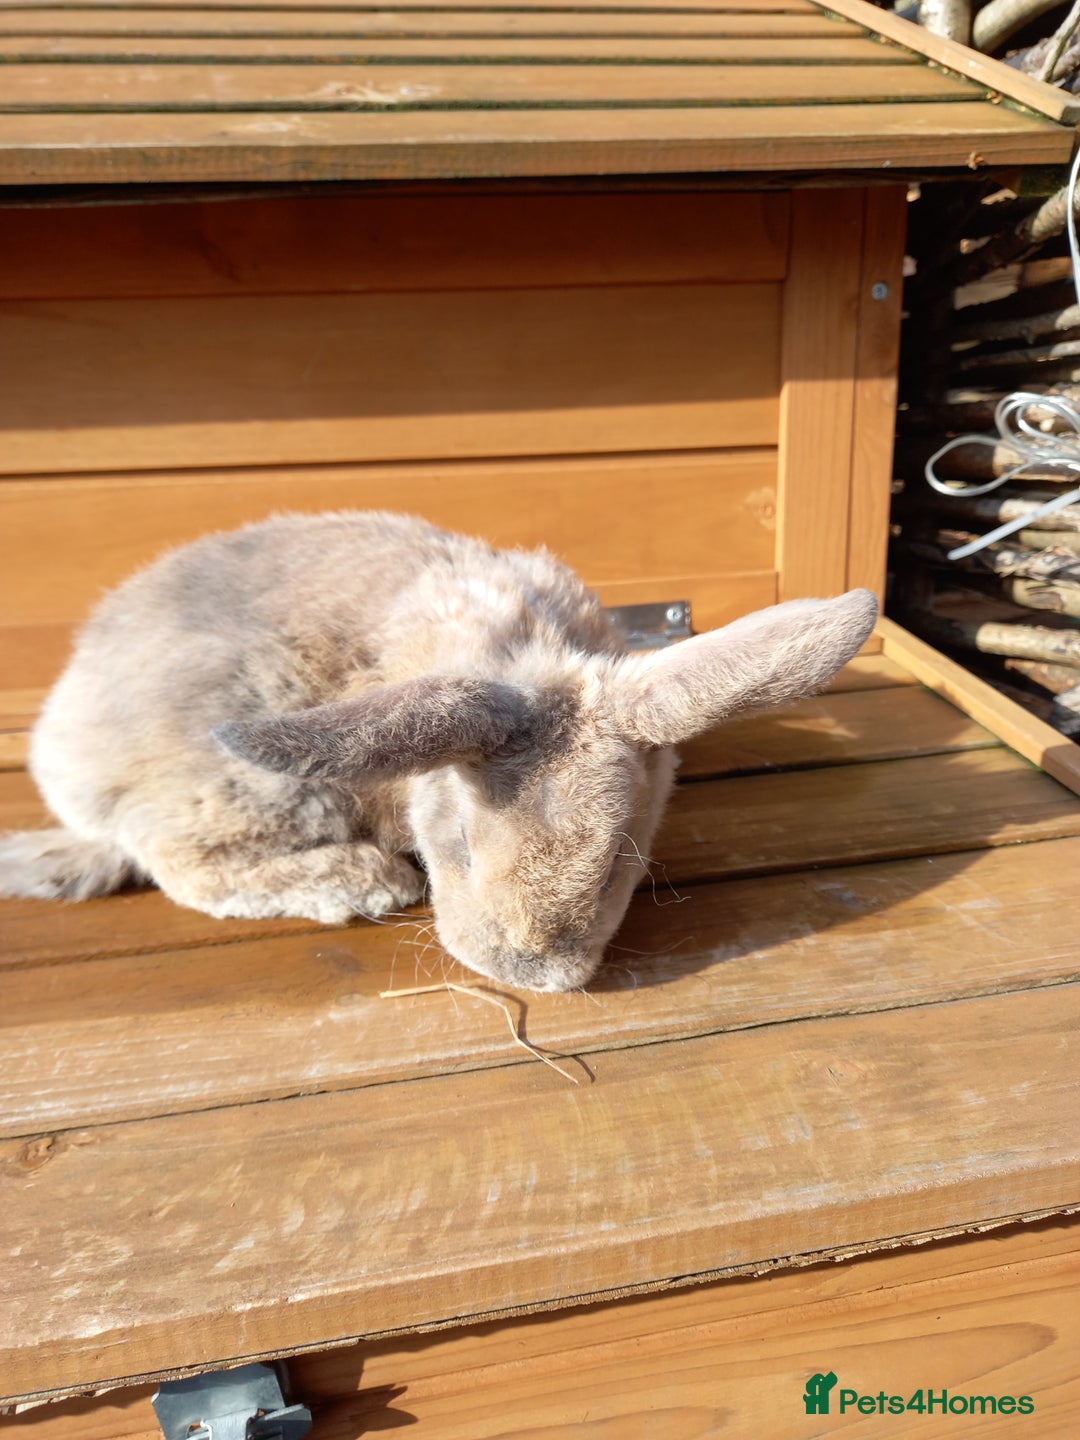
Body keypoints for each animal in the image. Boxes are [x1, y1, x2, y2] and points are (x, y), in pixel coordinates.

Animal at [0, 511, 877, 992]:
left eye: (619, 862)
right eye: (458, 845)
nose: (528, 974)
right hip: (251, 778)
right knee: (176, 859)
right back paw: (364, 881)